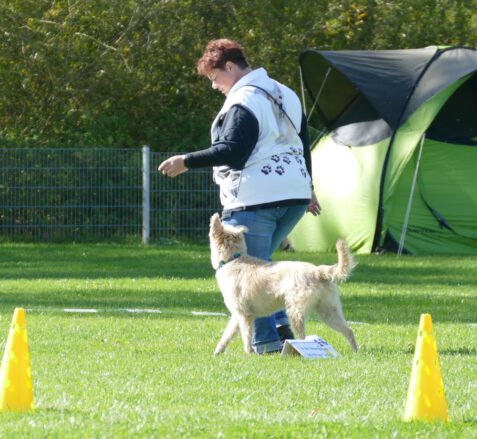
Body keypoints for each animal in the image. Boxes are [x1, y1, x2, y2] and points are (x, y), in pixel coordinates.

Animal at [209, 213, 358, 355]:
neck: (233, 260)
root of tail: (317, 271)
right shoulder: (237, 315)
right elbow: (227, 334)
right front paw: (218, 351)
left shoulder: (245, 315)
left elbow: (246, 336)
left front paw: (249, 353)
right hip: (328, 310)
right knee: (348, 330)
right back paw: (355, 352)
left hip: (295, 311)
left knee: (303, 337)